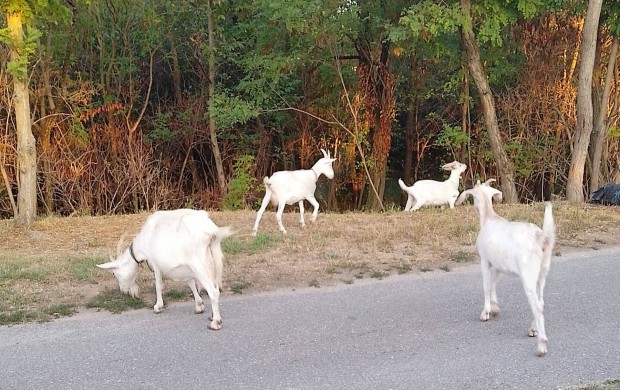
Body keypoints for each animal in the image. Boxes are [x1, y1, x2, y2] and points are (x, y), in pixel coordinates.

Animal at [97, 209, 232, 330]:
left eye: (114, 273)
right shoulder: (187, 267)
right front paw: (199, 306)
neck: (144, 240)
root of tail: (211, 231)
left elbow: (158, 285)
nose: (123, 291)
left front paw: (158, 307)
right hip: (212, 259)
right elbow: (190, 282)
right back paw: (212, 316)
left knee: (213, 291)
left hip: (199, 264)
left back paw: (216, 323)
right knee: (215, 286)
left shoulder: (155, 263)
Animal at [456, 183, 556, 356]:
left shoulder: (484, 260)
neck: (489, 218)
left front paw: (486, 312)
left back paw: (541, 345)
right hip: (542, 272)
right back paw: (533, 329)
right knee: (541, 302)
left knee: (536, 306)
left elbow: (486, 285)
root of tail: (541, 238)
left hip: (528, 275)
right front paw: (495, 308)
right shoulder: (499, 264)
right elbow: (494, 282)